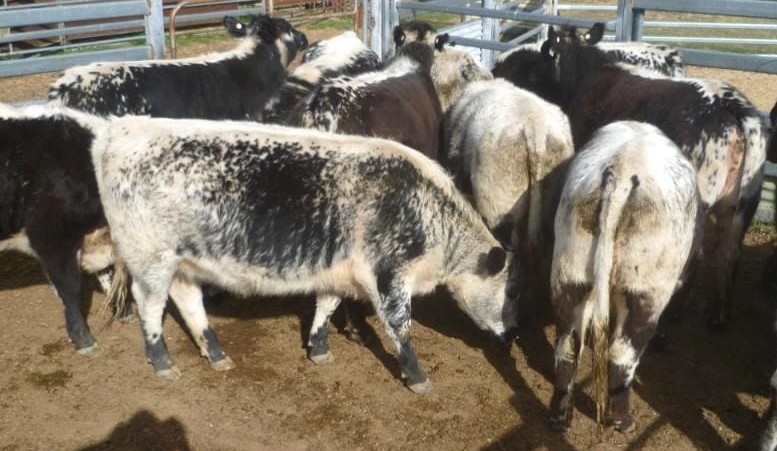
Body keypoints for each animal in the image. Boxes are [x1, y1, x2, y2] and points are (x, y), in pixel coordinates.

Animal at [92, 116, 519, 394]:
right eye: (510, 293)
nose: (513, 335)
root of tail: (117, 128)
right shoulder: (389, 276)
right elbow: (400, 328)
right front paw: (417, 377)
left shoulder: (339, 271)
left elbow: (326, 306)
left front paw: (319, 350)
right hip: (150, 260)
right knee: (150, 306)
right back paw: (164, 363)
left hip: (182, 262)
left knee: (188, 300)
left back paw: (216, 354)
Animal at [495, 26, 768, 328]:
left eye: (529, 67)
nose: (496, 69)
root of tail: (733, 106)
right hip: (740, 205)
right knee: (729, 253)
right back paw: (718, 316)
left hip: (697, 206)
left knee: (694, 261)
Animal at [550, 121, 698, 433]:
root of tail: (622, 169)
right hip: (646, 292)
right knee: (622, 354)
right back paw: (622, 419)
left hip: (569, 275)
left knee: (567, 346)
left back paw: (559, 417)